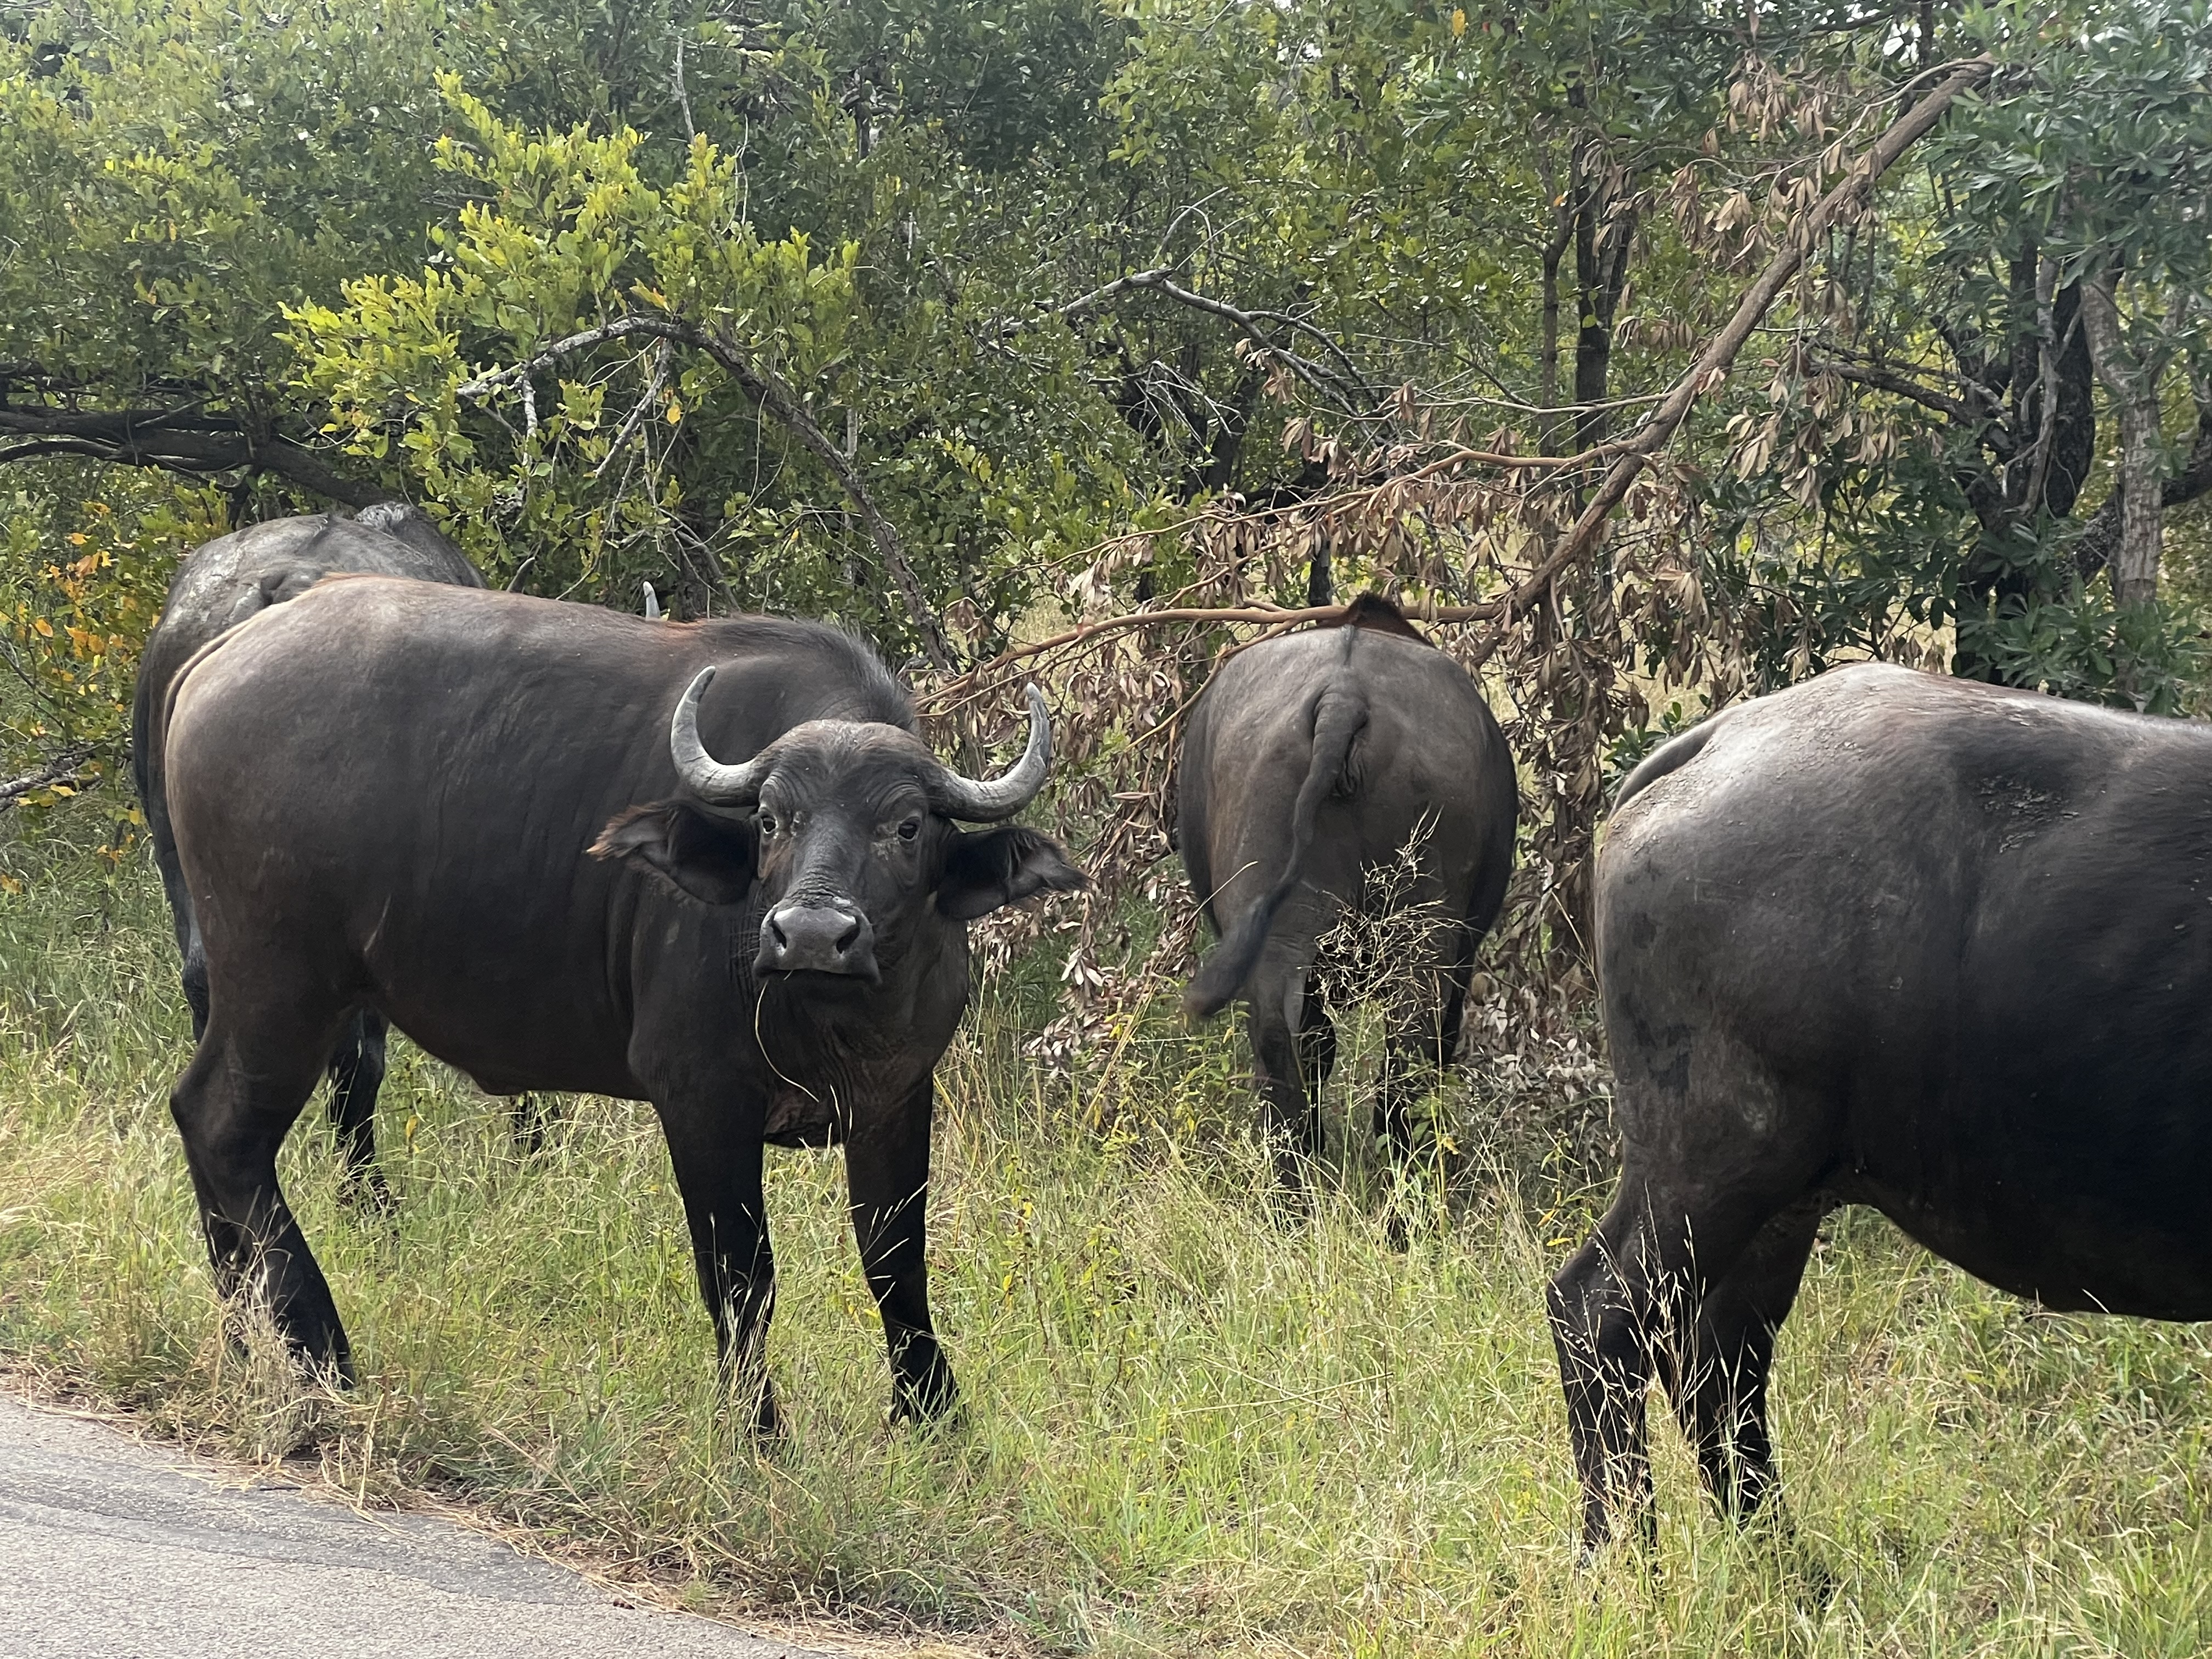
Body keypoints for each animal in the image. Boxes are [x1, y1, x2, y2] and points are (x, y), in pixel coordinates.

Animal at [158, 577, 1082, 1425]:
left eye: (907, 826)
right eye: (773, 821)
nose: (813, 935)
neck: (830, 1017)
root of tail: (218, 659)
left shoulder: (898, 1094)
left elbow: (897, 1262)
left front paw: (936, 1420)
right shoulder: (701, 1100)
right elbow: (742, 1276)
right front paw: (758, 1432)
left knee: (204, 1125)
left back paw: (246, 1344)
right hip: (281, 987)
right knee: (225, 1130)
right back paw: (323, 1358)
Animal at [1178, 594, 1517, 1193]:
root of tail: (1343, 698)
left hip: (1279, 925)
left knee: (1281, 1042)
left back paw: (1293, 1192)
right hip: (1423, 940)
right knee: (1407, 1055)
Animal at [1555, 662, 2212, 1549]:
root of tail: (1723, 739)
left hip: (1783, 1202)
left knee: (1719, 1362)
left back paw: (1783, 1562)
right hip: (1712, 1159)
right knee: (1599, 1318)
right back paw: (1626, 1557)